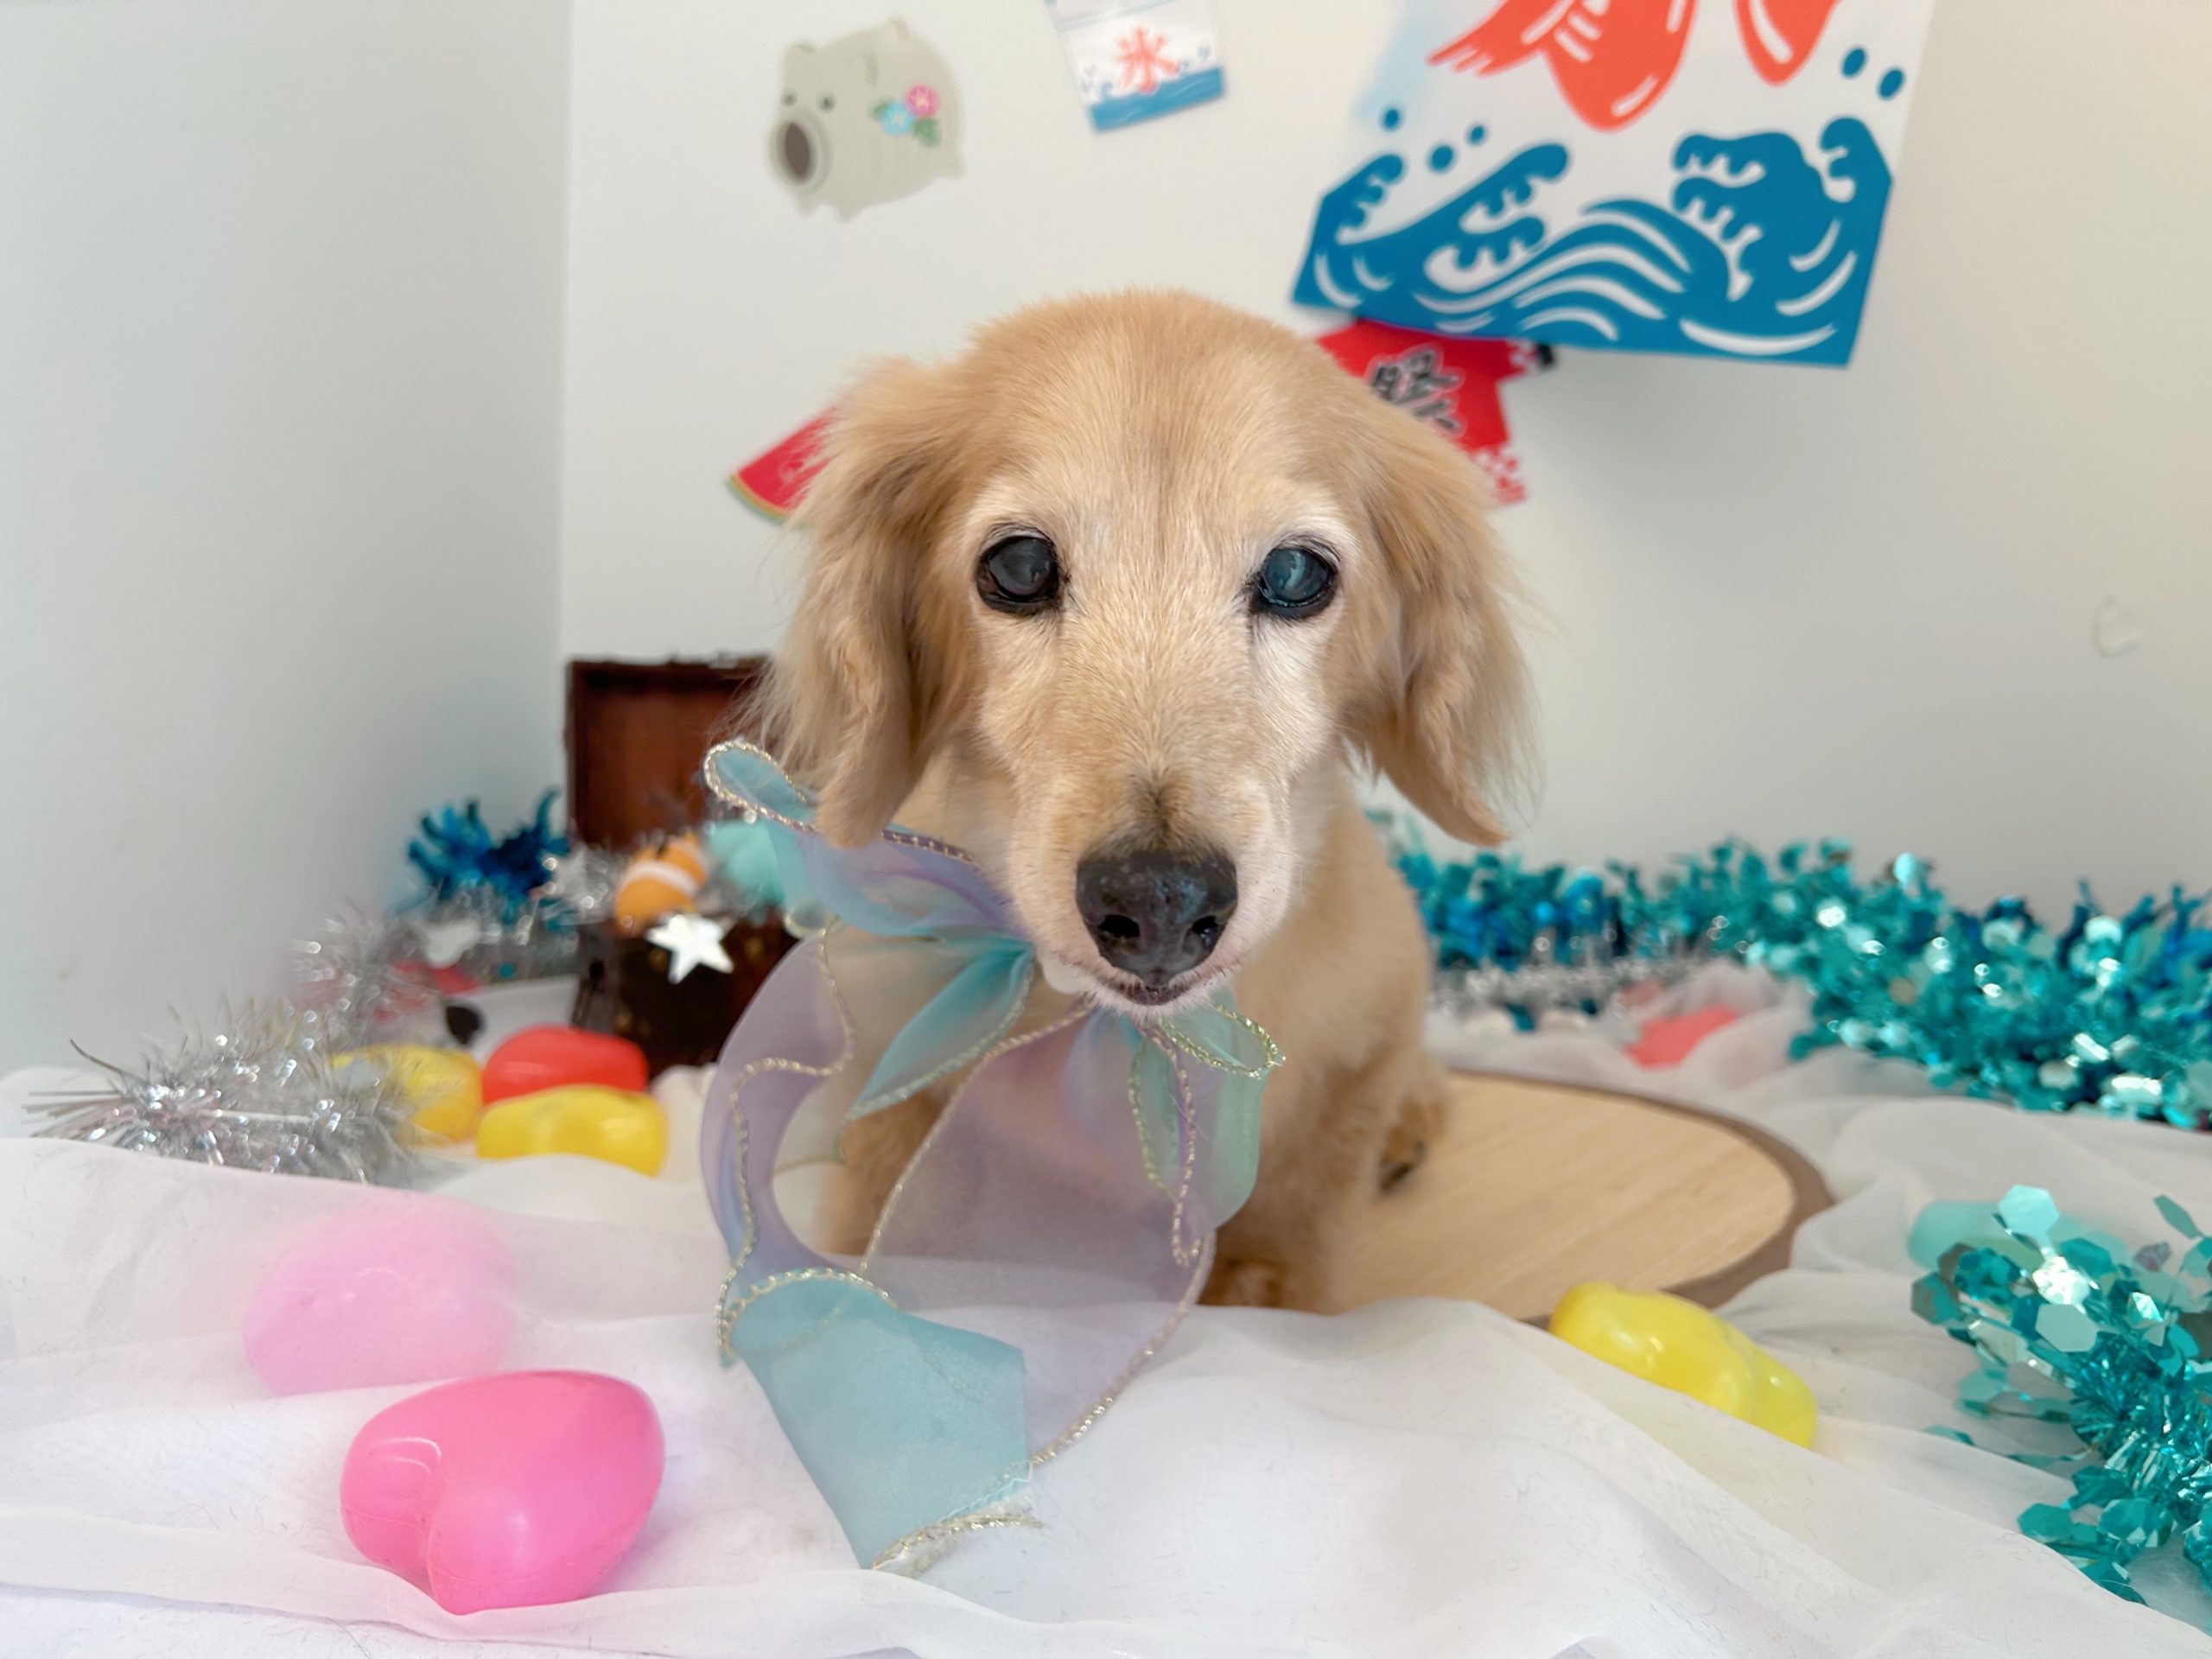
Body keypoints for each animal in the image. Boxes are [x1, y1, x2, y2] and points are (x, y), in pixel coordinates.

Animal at [755, 290, 1531, 1311]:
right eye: (1019, 566)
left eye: (1295, 575)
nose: (1160, 903)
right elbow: (883, 1179)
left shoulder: (1367, 1030)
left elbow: (1303, 1197)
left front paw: (1265, 1277)